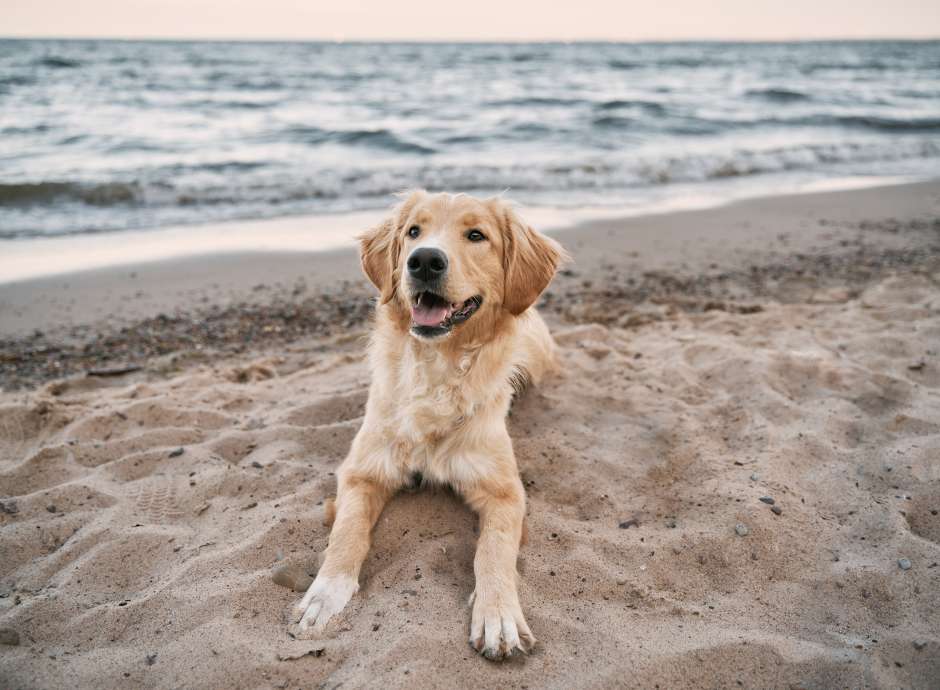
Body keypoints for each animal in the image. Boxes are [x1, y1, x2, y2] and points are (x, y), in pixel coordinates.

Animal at [290, 191, 564, 660]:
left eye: (477, 235)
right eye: (414, 232)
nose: (424, 261)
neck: (436, 369)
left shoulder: (505, 492)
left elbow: (493, 550)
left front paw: (498, 614)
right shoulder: (361, 473)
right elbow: (346, 534)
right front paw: (325, 595)